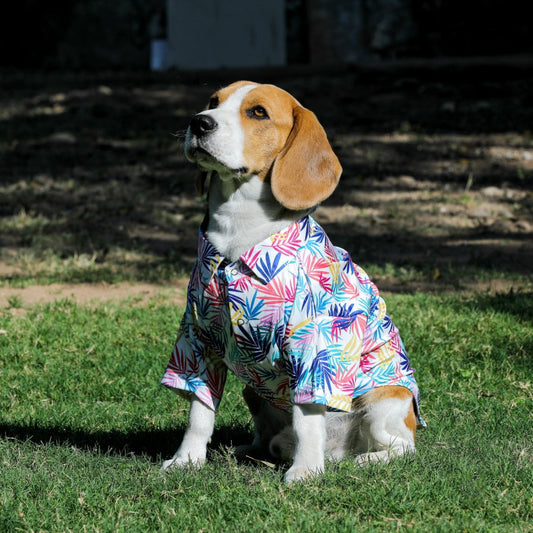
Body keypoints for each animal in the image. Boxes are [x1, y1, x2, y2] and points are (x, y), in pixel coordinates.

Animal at [160, 80, 422, 482]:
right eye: (213, 101)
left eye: (258, 112)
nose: (199, 122)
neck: (239, 227)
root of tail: (340, 451)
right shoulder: (197, 341)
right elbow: (199, 413)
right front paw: (187, 459)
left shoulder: (312, 347)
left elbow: (307, 420)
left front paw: (306, 471)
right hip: (252, 393)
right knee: (269, 437)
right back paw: (249, 450)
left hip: (385, 399)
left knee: (401, 447)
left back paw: (362, 459)